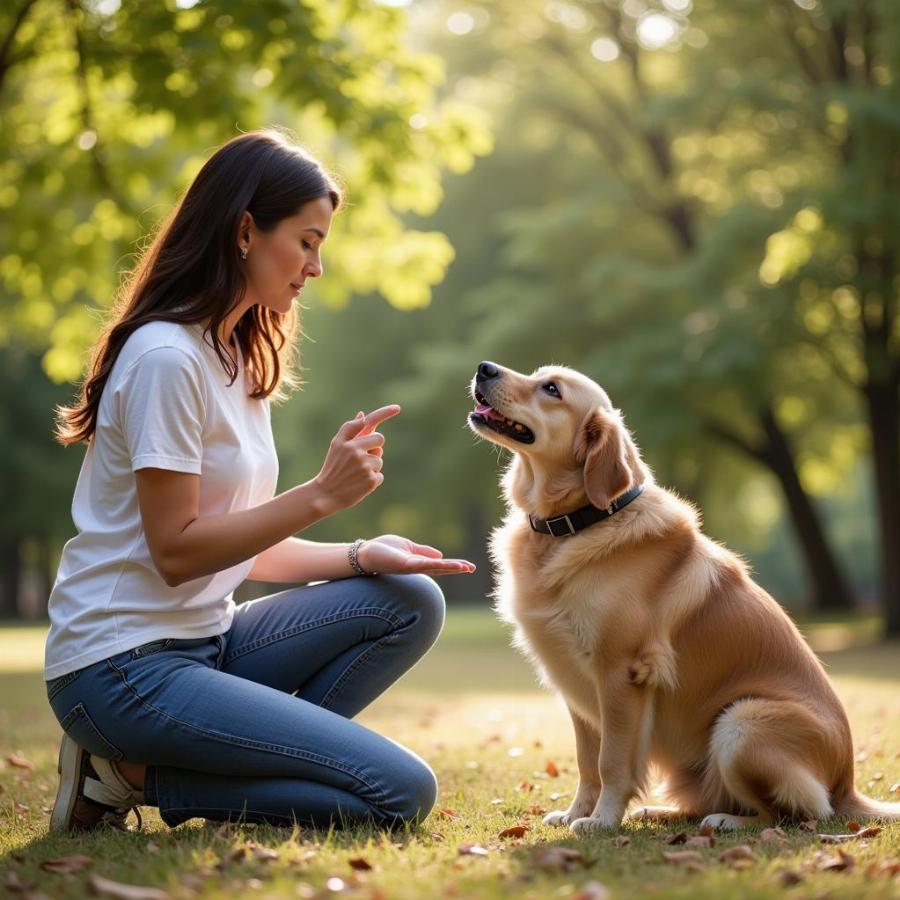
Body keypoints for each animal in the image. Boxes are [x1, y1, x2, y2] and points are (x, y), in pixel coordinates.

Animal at [468, 362, 896, 832]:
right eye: (538, 374)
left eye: (551, 389)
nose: (484, 368)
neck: (579, 522)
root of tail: (847, 786)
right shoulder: (574, 681)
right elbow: (585, 763)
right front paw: (576, 813)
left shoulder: (620, 673)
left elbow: (610, 762)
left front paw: (601, 821)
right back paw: (663, 810)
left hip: (740, 723)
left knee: (792, 814)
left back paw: (727, 821)